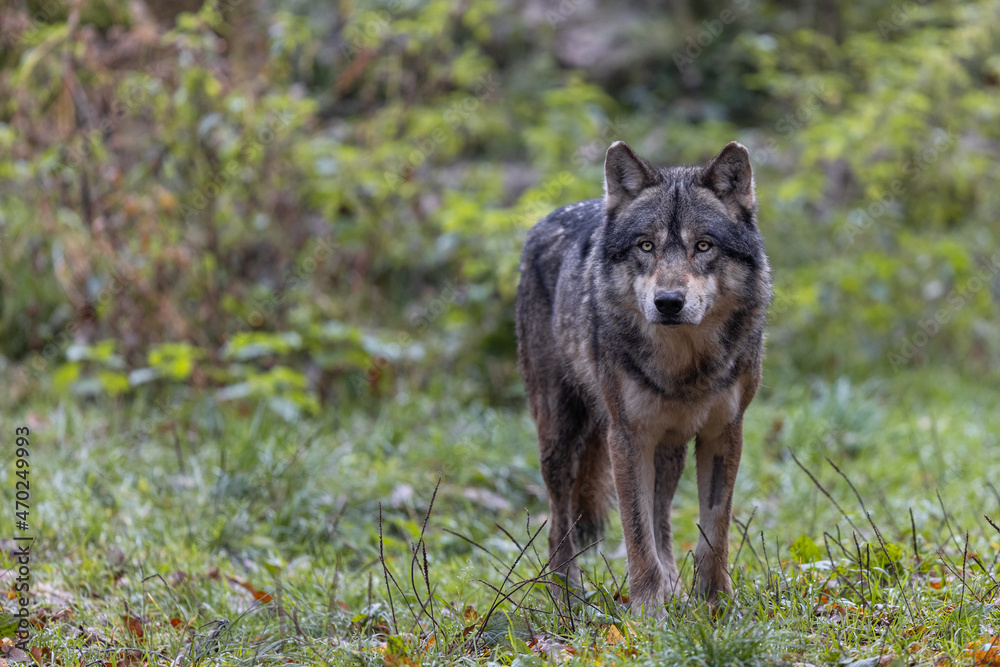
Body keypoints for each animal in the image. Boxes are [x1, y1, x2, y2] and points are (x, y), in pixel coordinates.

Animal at [515, 140, 771, 613]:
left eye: (703, 246)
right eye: (646, 246)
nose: (668, 302)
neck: (685, 365)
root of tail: (544, 220)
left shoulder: (724, 433)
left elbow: (713, 532)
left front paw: (715, 605)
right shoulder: (627, 437)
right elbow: (636, 534)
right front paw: (647, 611)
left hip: (668, 449)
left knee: (662, 519)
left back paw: (673, 588)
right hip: (560, 439)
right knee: (559, 524)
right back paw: (567, 600)